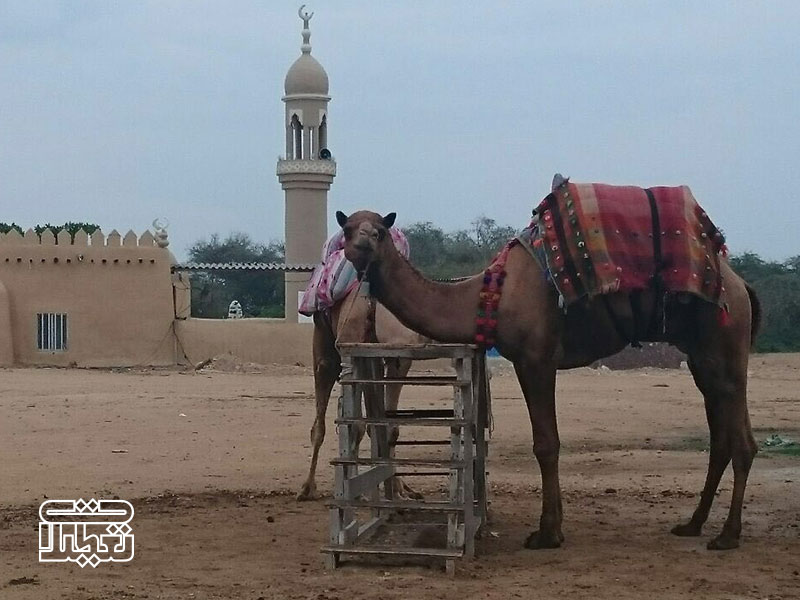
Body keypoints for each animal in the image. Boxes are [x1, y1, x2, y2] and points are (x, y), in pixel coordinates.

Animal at [336, 185, 764, 552]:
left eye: (379, 232)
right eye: (347, 229)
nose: (361, 245)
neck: (489, 294)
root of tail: (741, 285)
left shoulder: (535, 358)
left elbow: (546, 444)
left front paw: (546, 533)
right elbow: (548, 442)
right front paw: (553, 527)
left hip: (722, 345)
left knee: (741, 439)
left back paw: (727, 535)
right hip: (703, 357)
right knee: (722, 437)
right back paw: (692, 524)